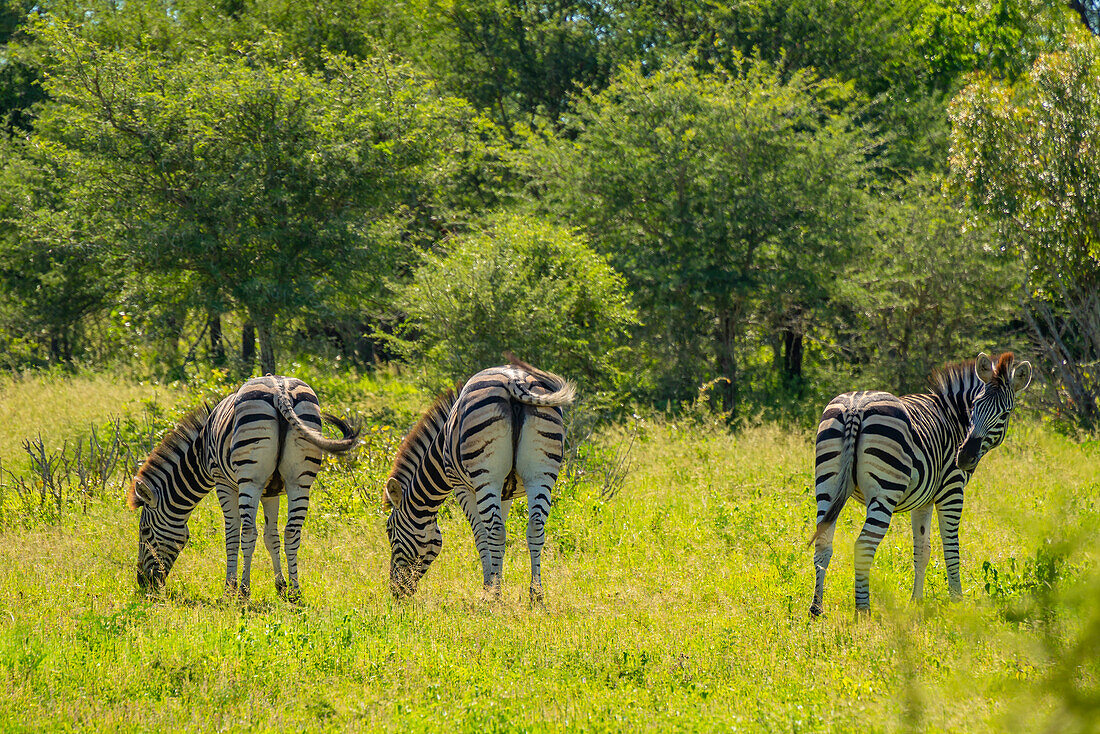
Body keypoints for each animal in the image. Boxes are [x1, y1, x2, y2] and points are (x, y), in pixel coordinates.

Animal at [125, 376, 356, 598]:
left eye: (144, 531)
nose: (143, 582)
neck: (200, 453)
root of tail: (280, 391)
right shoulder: (271, 492)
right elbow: (271, 536)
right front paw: (280, 586)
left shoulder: (223, 482)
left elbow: (232, 535)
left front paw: (229, 588)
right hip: (299, 480)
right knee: (292, 532)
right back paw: (295, 593)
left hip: (250, 477)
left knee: (249, 532)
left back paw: (244, 591)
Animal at [385, 356, 576, 603]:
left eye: (389, 530)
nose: (396, 592)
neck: (440, 448)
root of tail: (515, 380)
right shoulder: (506, 493)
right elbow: (501, 536)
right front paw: (495, 581)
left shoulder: (462, 487)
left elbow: (482, 536)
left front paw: (489, 587)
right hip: (542, 473)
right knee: (535, 527)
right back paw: (536, 596)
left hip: (486, 474)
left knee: (494, 530)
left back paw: (495, 598)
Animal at [809, 352, 1029, 616]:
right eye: (975, 406)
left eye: (1005, 414)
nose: (964, 457)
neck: (955, 417)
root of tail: (855, 407)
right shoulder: (951, 491)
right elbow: (951, 549)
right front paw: (957, 601)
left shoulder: (923, 500)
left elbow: (922, 551)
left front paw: (916, 601)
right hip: (885, 491)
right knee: (863, 547)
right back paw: (863, 611)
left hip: (827, 484)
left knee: (822, 543)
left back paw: (816, 608)